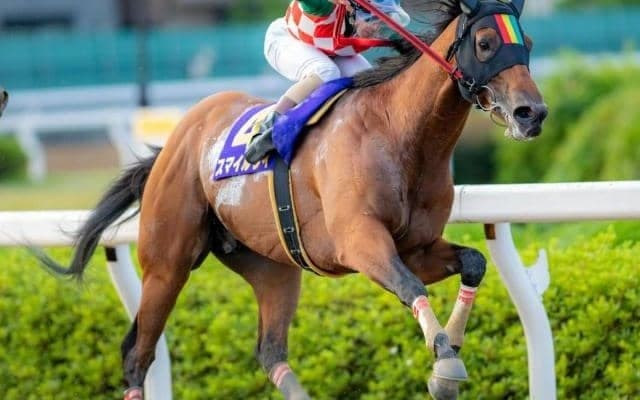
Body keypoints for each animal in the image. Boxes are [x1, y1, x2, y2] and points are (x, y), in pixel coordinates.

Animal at [38, 1, 547, 399]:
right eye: (485, 43)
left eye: (528, 43)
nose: (532, 113)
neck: (399, 133)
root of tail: (177, 138)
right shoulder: (359, 241)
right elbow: (411, 287)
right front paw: (445, 365)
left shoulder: (414, 247)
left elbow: (473, 263)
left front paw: (452, 348)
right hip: (166, 264)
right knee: (137, 353)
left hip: (273, 267)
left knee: (270, 353)